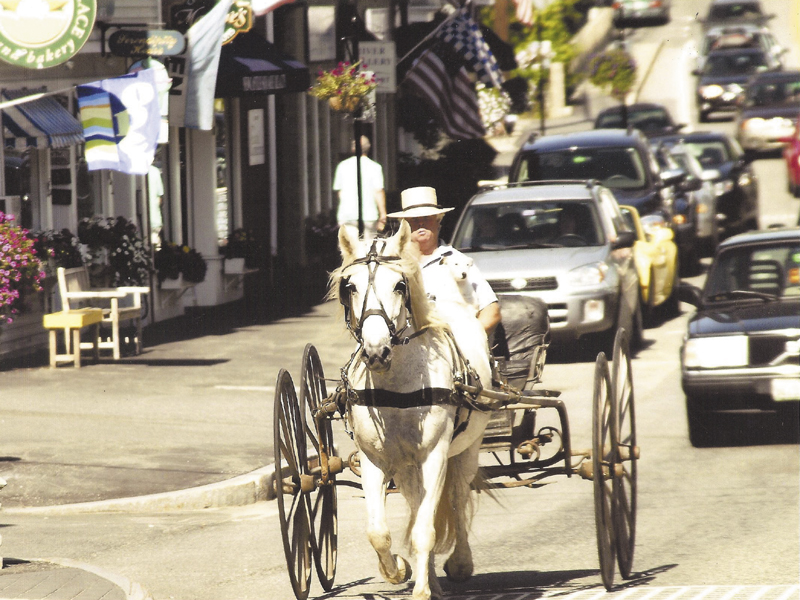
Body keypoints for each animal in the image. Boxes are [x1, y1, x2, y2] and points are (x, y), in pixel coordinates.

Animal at [332, 221, 494, 600]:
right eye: (350, 287)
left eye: (399, 285)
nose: (376, 351)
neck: (396, 387)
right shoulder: (374, 459)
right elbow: (378, 532)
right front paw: (397, 570)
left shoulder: (434, 454)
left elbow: (425, 529)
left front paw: (420, 589)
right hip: (406, 468)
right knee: (418, 502)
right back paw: (431, 575)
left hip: (466, 451)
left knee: (457, 495)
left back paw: (458, 565)